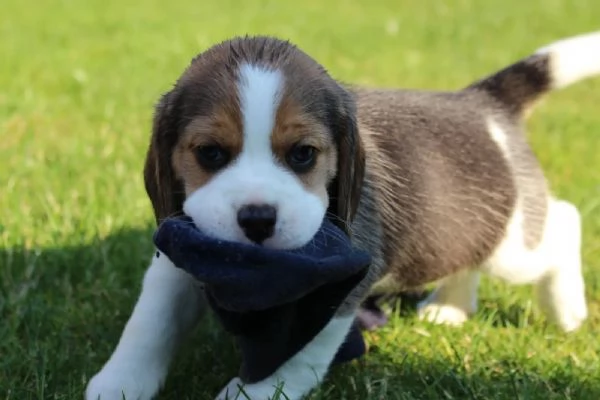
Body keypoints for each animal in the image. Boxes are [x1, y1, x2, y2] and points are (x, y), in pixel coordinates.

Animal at [85, 32, 600, 400]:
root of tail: (483, 103)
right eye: (210, 153)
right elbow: (150, 323)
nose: (257, 218)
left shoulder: (343, 283)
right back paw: (451, 307)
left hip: (514, 248)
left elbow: (297, 353)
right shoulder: (182, 251)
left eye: (303, 154)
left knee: (565, 220)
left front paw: (254, 394)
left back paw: (566, 307)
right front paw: (120, 382)